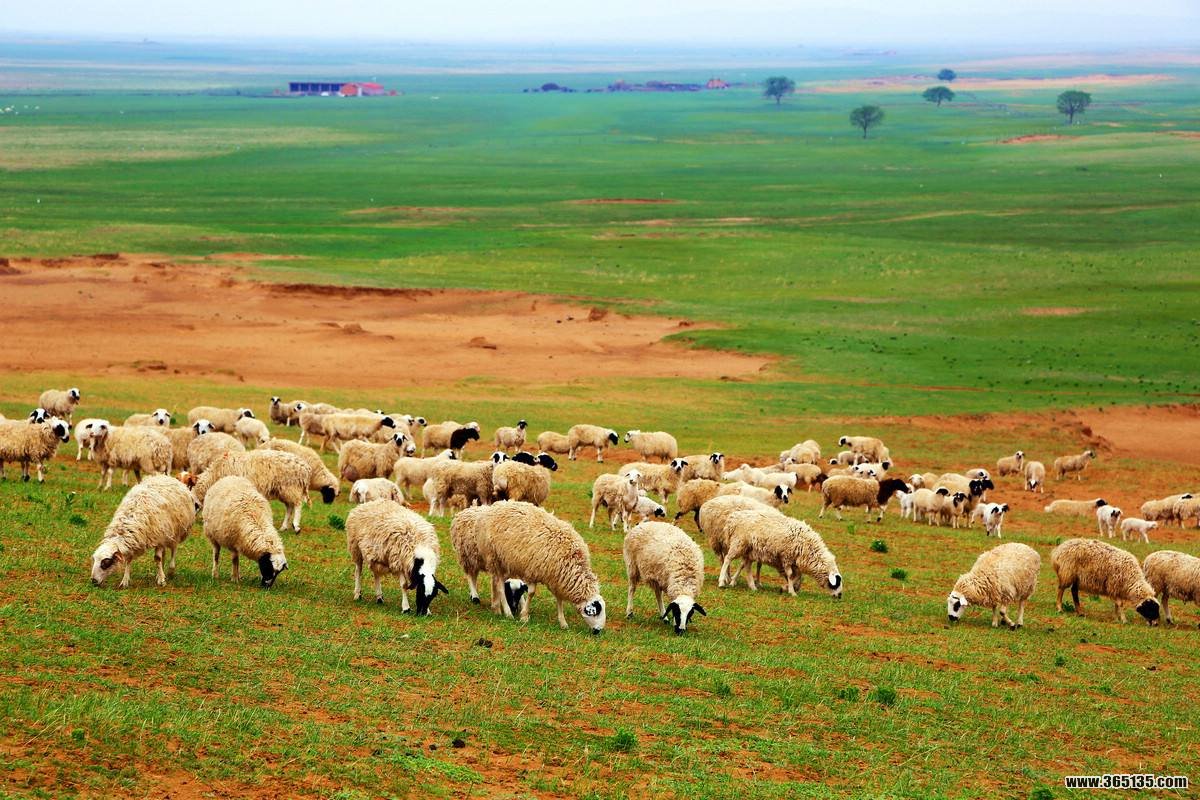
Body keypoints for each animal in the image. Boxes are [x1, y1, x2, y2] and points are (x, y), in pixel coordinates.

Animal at [474, 501, 606, 632]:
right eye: (596, 612)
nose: (598, 631)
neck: (573, 561)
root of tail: (498, 504)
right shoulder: (533, 571)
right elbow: (531, 593)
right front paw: (524, 616)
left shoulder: (556, 578)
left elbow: (559, 599)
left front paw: (563, 622)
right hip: (493, 557)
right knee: (500, 586)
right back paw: (507, 613)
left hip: (504, 562)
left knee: (495, 582)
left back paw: (496, 608)